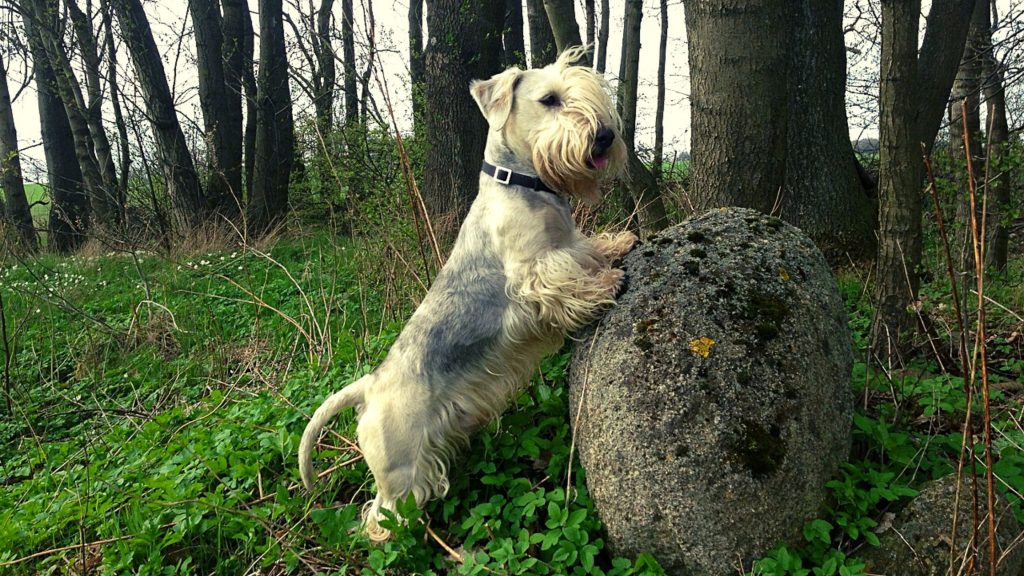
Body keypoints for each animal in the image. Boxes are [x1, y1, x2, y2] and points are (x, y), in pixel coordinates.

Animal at [296, 44, 634, 537]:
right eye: (549, 99)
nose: (606, 136)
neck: (524, 184)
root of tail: (369, 386)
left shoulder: (567, 245)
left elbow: (589, 250)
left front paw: (617, 244)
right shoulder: (533, 272)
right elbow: (567, 283)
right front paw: (604, 285)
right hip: (400, 472)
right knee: (381, 517)